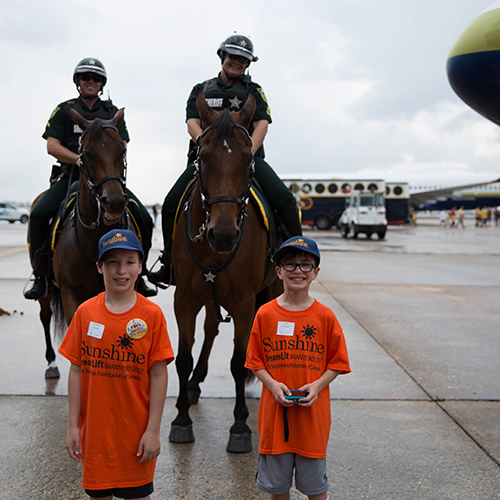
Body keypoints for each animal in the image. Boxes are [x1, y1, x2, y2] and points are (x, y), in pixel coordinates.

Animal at [31, 107, 129, 376]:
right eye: (86, 154)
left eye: (122, 150)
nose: (114, 202)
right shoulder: (69, 293)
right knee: (45, 315)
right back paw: (51, 362)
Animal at [170, 93, 282, 454]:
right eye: (203, 157)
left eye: (248, 160)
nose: (223, 235)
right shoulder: (185, 298)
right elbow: (183, 357)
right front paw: (181, 420)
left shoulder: (245, 302)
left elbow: (238, 362)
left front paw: (240, 426)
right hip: (209, 293)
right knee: (210, 329)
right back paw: (194, 384)